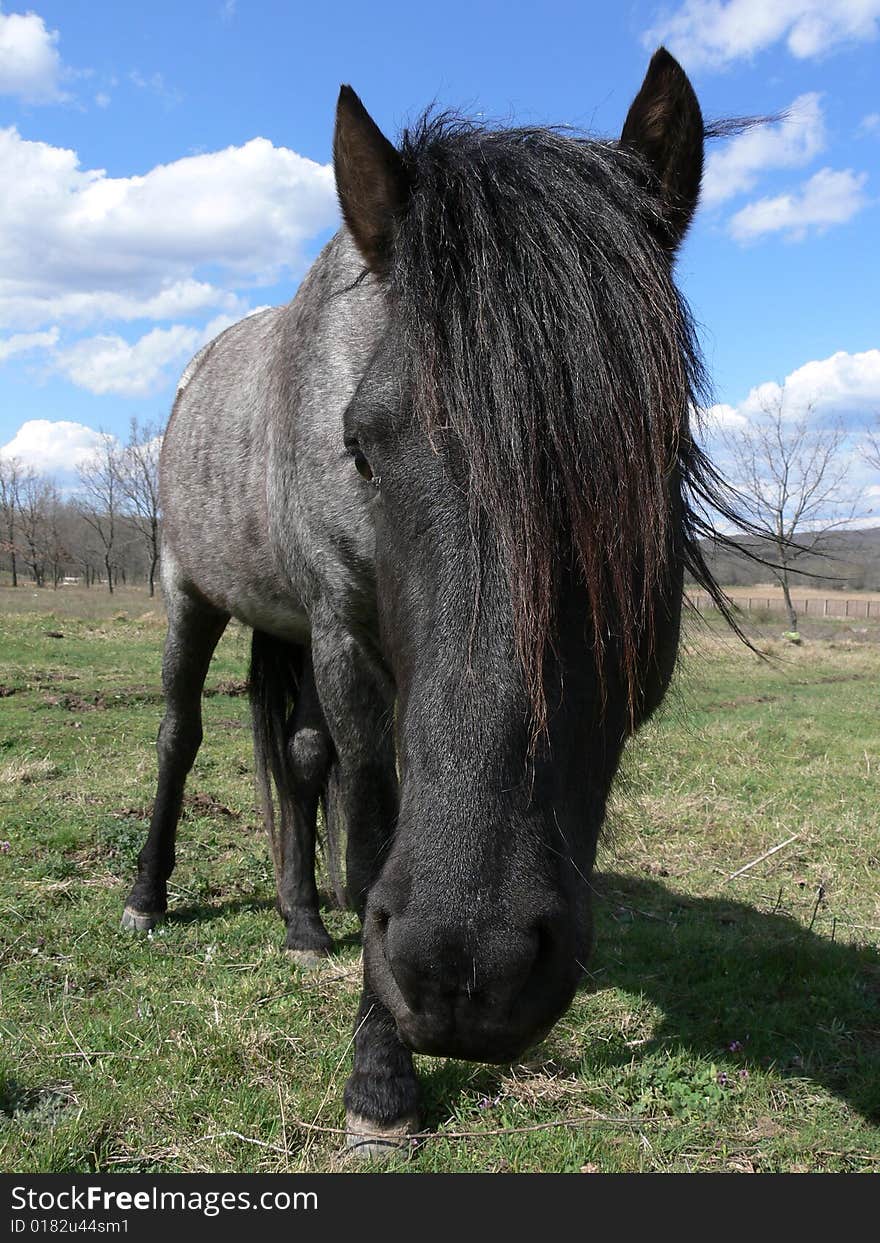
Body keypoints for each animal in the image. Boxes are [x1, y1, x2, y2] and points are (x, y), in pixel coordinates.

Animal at [121, 48, 735, 1153]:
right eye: (360, 446)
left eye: (658, 452)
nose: (463, 971)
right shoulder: (343, 632)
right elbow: (369, 827)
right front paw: (380, 1081)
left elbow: (327, 783)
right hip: (191, 591)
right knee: (180, 733)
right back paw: (148, 895)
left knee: (292, 755)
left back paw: (302, 921)